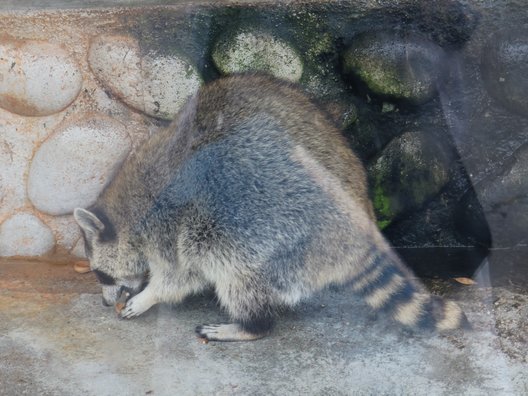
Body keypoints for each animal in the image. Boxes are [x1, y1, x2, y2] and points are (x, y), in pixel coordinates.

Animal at [73, 73, 466, 340]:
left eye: (101, 275)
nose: (106, 302)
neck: (130, 209)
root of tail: (358, 220)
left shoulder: (170, 227)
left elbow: (183, 275)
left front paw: (150, 295)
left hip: (279, 227)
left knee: (232, 262)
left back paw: (251, 326)